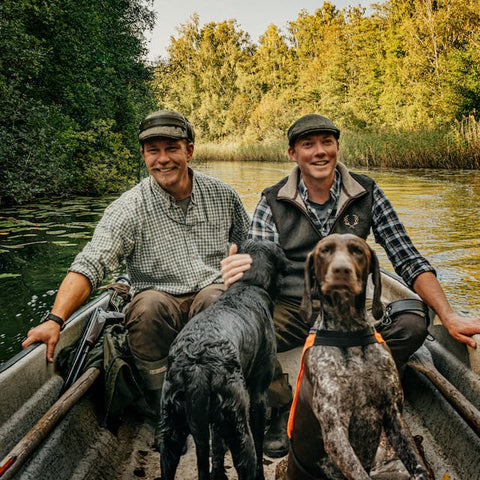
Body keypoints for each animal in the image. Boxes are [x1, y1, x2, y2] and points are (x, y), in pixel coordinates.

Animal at [158, 240, 286, 480]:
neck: (247, 285)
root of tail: (196, 367)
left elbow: (216, 444)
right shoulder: (258, 395)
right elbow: (258, 441)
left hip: (171, 430)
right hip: (238, 426)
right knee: (249, 459)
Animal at [282, 234, 428, 480]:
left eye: (357, 250)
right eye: (325, 250)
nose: (341, 270)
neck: (349, 334)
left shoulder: (393, 413)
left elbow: (416, 462)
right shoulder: (335, 430)